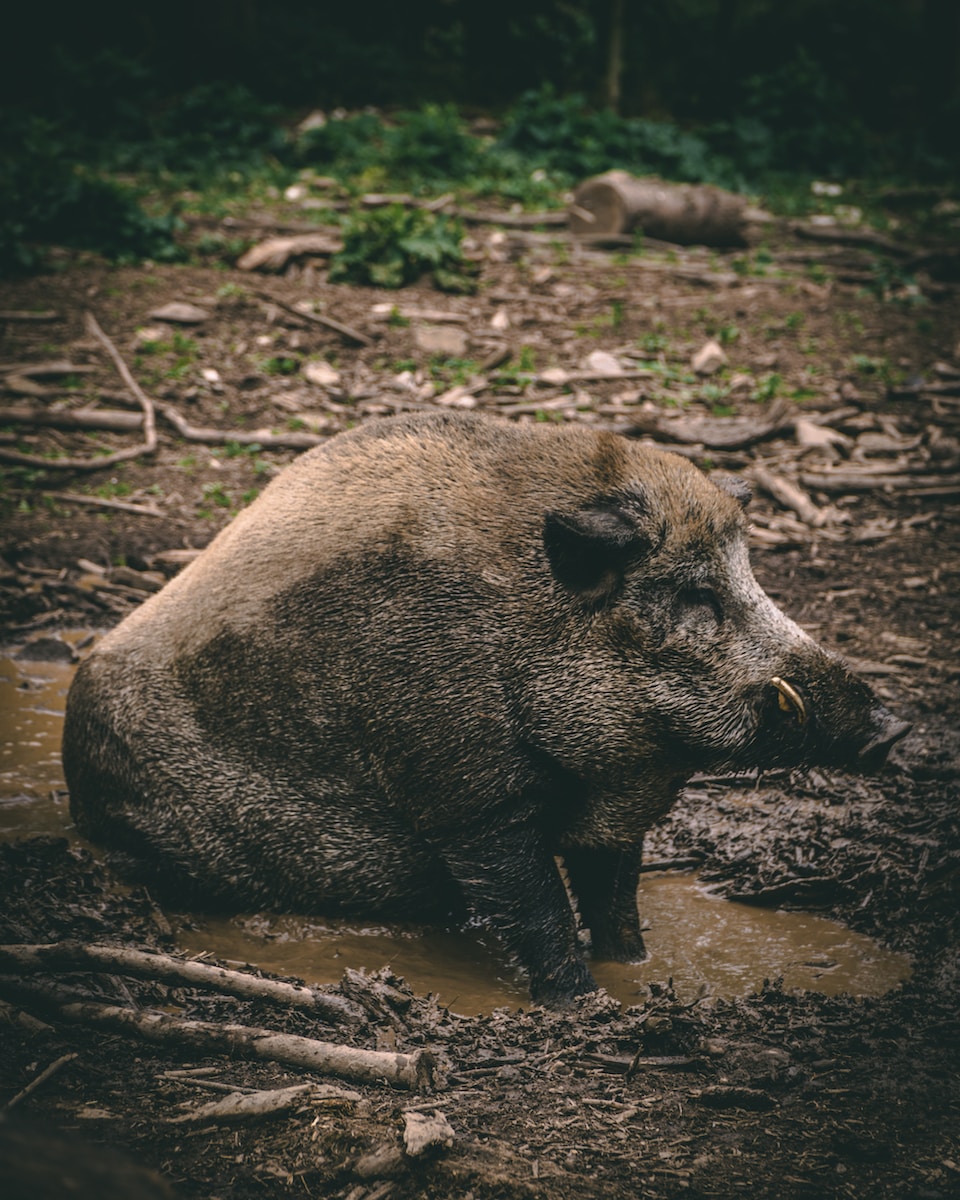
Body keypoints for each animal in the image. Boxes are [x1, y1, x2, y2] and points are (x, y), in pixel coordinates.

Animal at [62, 412, 909, 1004]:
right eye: (696, 593)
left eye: (751, 575)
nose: (891, 727)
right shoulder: (462, 786)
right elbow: (536, 902)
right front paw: (581, 1003)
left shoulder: (615, 804)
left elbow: (614, 895)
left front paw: (635, 970)